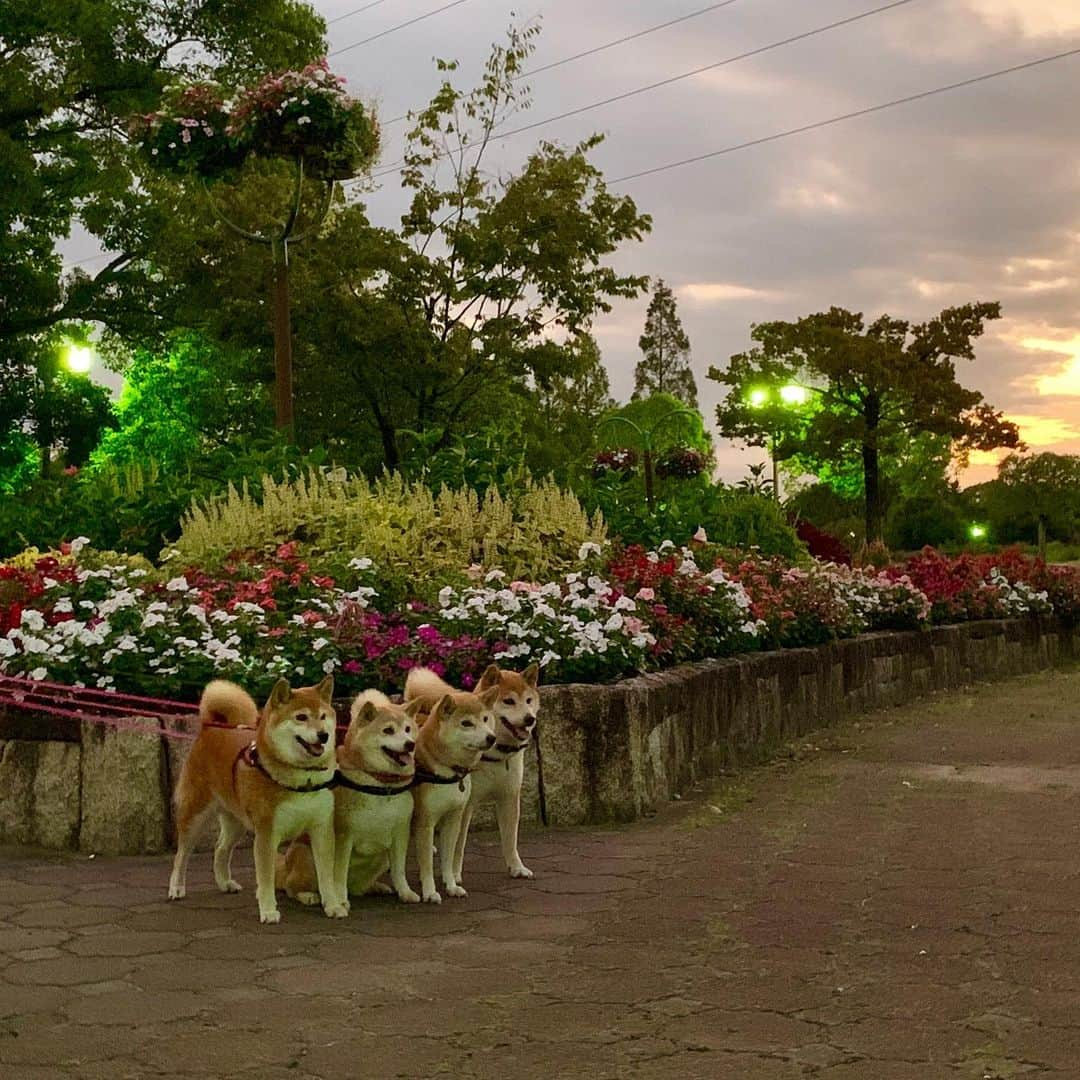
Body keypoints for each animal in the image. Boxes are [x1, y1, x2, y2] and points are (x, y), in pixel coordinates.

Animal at [167, 673, 345, 920]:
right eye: (301, 717)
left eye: (323, 716)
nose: (324, 735)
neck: (302, 780)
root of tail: (211, 727)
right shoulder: (266, 834)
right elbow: (266, 877)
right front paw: (269, 910)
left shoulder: (321, 830)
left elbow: (326, 876)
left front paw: (333, 905)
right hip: (195, 816)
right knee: (182, 854)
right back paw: (176, 888)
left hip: (236, 822)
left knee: (220, 849)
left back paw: (225, 883)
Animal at [278, 691, 421, 902]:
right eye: (388, 730)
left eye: (408, 729)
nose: (410, 744)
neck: (380, 785)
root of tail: (286, 868)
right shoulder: (344, 836)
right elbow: (339, 874)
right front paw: (340, 899)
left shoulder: (400, 834)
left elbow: (399, 871)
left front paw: (405, 892)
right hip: (307, 855)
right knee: (291, 886)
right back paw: (308, 895)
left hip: (382, 859)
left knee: (357, 887)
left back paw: (375, 887)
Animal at [403, 673, 498, 902]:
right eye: (466, 723)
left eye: (485, 719)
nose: (491, 737)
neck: (449, 770)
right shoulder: (426, 822)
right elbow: (427, 865)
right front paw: (430, 892)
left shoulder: (453, 819)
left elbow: (447, 859)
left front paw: (451, 885)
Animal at [406, 665, 540, 885]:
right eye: (509, 701)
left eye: (528, 700)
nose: (530, 718)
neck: (496, 755)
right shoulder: (466, 805)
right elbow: (458, 845)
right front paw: (454, 874)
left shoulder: (509, 798)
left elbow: (510, 839)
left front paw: (517, 867)